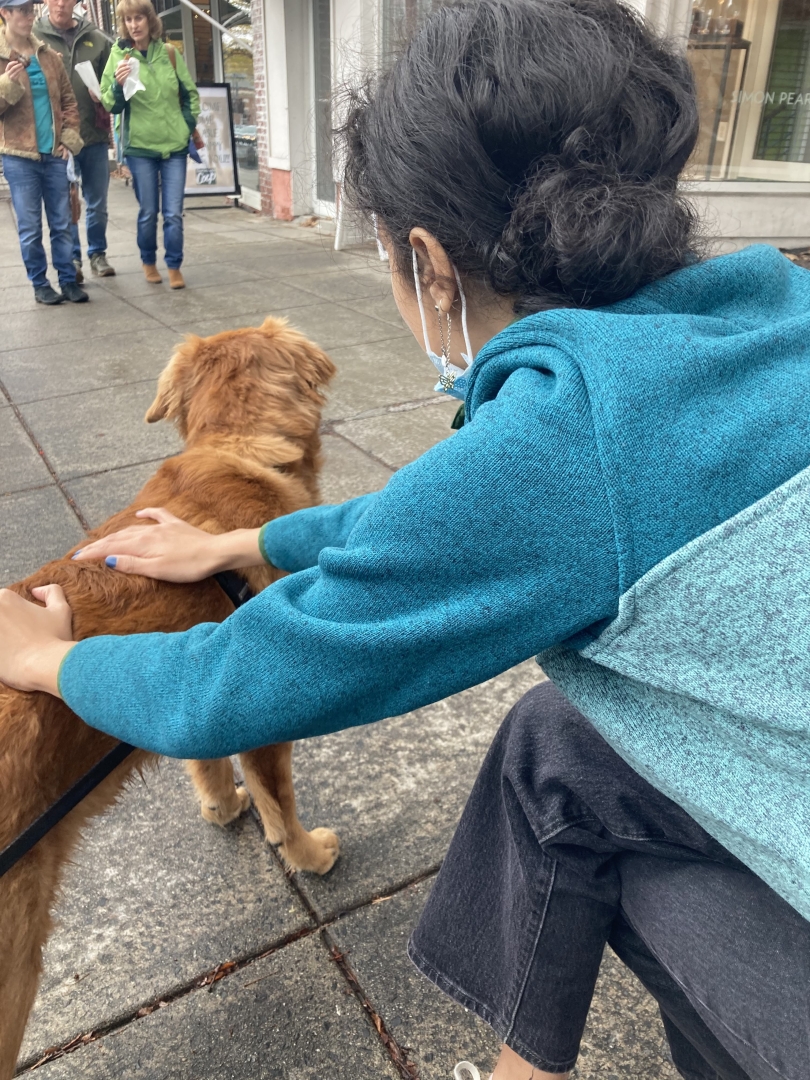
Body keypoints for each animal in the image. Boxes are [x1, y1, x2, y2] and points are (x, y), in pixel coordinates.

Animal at [0, 315, 339, 1075]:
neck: (236, 447)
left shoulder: (195, 695)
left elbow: (207, 767)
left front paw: (223, 809)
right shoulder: (260, 704)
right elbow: (281, 803)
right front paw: (305, 853)